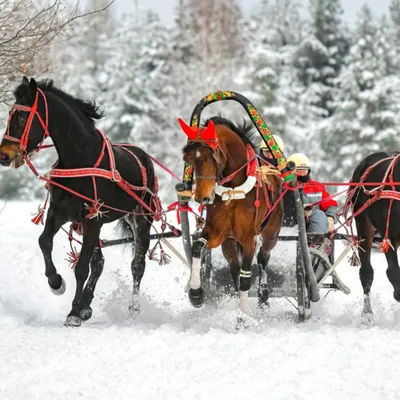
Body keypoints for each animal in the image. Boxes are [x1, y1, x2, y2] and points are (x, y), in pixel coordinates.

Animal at [0, 76, 160, 326]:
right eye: (11, 113)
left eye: (23, 116)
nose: (4, 155)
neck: (80, 161)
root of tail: (144, 156)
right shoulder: (59, 213)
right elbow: (44, 242)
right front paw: (57, 284)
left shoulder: (92, 220)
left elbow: (82, 268)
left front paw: (74, 311)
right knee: (100, 263)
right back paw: (87, 304)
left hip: (141, 219)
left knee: (137, 265)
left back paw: (131, 307)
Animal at [180, 115, 282, 316]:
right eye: (189, 159)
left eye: (211, 157)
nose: (203, 198)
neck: (234, 190)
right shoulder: (217, 233)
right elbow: (196, 247)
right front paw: (196, 294)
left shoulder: (250, 239)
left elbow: (246, 277)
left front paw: (242, 317)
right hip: (229, 242)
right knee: (234, 268)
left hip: (271, 235)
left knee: (263, 258)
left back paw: (263, 297)